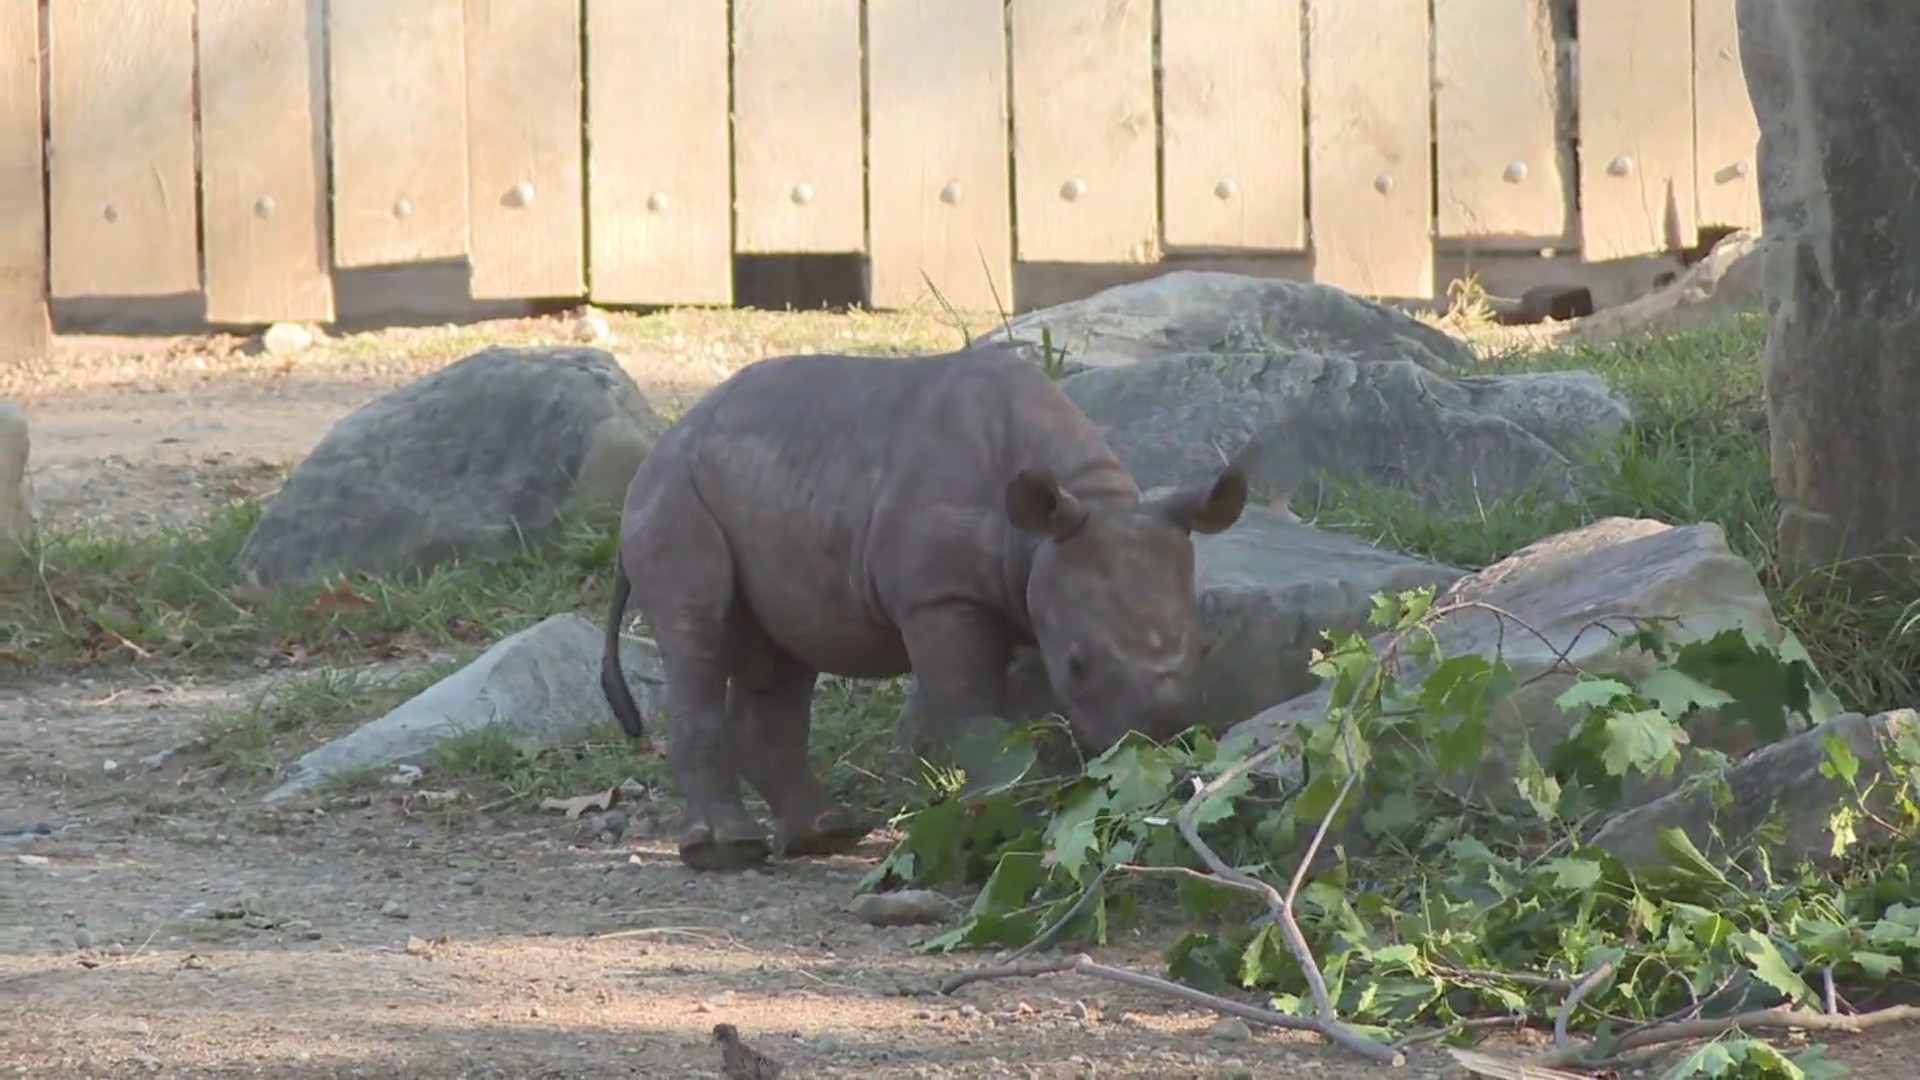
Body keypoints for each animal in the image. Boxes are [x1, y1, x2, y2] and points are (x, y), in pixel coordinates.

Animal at [601, 343, 1249, 872]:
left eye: (1206, 648)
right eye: (1078, 665)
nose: (1159, 737)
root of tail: (664, 442)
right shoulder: (938, 598)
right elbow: (974, 711)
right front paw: (1005, 815)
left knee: (780, 658)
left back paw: (827, 835)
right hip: (673, 493)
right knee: (698, 634)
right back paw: (726, 851)